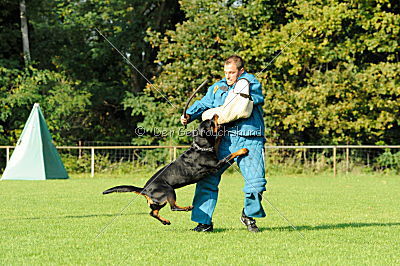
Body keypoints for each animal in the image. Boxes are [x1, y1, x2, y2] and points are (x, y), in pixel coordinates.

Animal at [102, 115, 247, 225]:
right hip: (168, 190)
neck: (201, 148)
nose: (216, 114)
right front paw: (243, 150)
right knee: (173, 207)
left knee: (153, 212)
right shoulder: (217, 164)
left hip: (158, 201)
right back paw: (187, 207)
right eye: (211, 122)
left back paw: (165, 221)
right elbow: (230, 154)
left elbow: (217, 142)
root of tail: (144, 189)